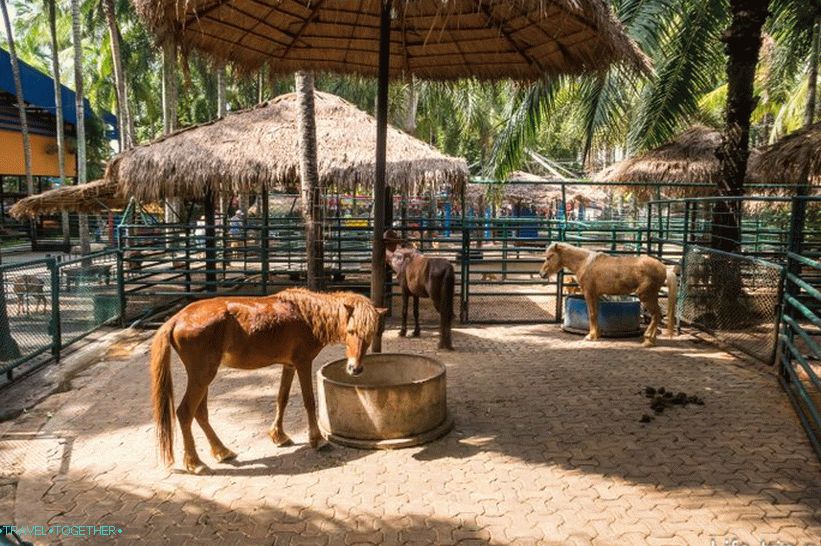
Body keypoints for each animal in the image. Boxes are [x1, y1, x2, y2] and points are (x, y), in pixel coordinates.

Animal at [151, 286, 388, 470]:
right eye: (351, 331)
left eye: (370, 334)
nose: (355, 369)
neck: (308, 317)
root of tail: (176, 319)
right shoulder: (303, 363)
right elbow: (309, 401)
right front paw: (317, 439)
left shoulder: (289, 365)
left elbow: (282, 399)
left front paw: (278, 436)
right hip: (202, 375)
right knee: (185, 413)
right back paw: (195, 463)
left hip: (205, 376)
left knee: (200, 413)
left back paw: (222, 451)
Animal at [540, 241, 672, 344]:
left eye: (549, 257)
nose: (542, 274)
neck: (585, 263)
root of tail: (663, 267)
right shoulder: (596, 295)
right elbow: (596, 313)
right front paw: (596, 335)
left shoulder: (589, 293)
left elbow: (592, 314)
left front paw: (590, 336)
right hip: (652, 296)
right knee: (657, 315)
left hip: (646, 296)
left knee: (656, 315)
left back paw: (648, 340)